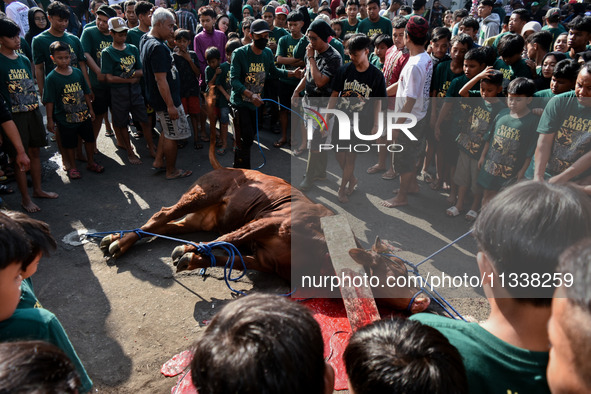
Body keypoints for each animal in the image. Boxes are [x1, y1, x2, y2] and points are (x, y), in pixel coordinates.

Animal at [102, 143, 430, 312]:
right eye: (397, 273)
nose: (425, 299)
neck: (322, 255)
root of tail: (228, 166)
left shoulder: (265, 260)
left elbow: (229, 255)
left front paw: (194, 257)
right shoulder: (272, 221)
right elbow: (230, 239)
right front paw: (191, 252)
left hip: (201, 218)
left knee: (170, 224)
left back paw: (116, 239)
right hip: (202, 193)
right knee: (161, 214)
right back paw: (119, 241)